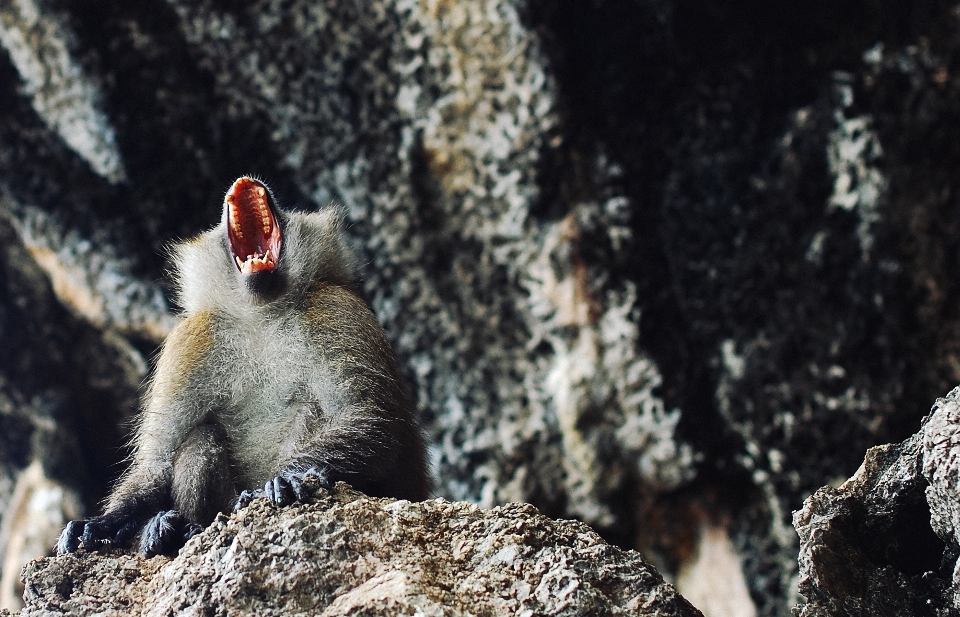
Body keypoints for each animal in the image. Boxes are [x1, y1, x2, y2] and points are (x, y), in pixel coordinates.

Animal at [53, 176, 428, 556]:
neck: (262, 314)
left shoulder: (334, 308)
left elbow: (373, 420)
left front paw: (289, 476)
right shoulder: (192, 339)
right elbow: (159, 460)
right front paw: (106, 522)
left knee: (312, 409)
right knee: (201, 438)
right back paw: (182, 527)